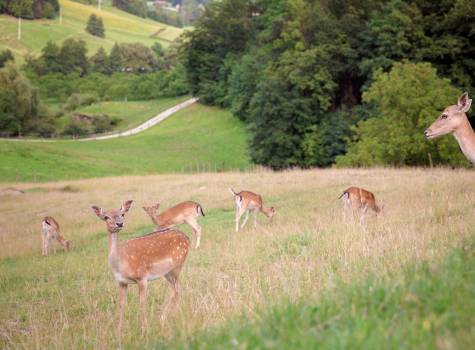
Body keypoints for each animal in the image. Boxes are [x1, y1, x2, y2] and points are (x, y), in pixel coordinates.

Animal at [92, 200, 191, 330]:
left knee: (176, 288)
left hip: (177, 264)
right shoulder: (121, 282)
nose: (119, 223)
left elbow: (142, 303)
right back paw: (174, 314)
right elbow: (121, 304)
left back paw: (164, 317)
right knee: (177, 288)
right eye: (106, 217)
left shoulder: (142, 277)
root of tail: (187, 239)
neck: (122, 263)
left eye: (122, 214)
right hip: (167, 272)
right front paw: (119, 329)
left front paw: (144, 327)